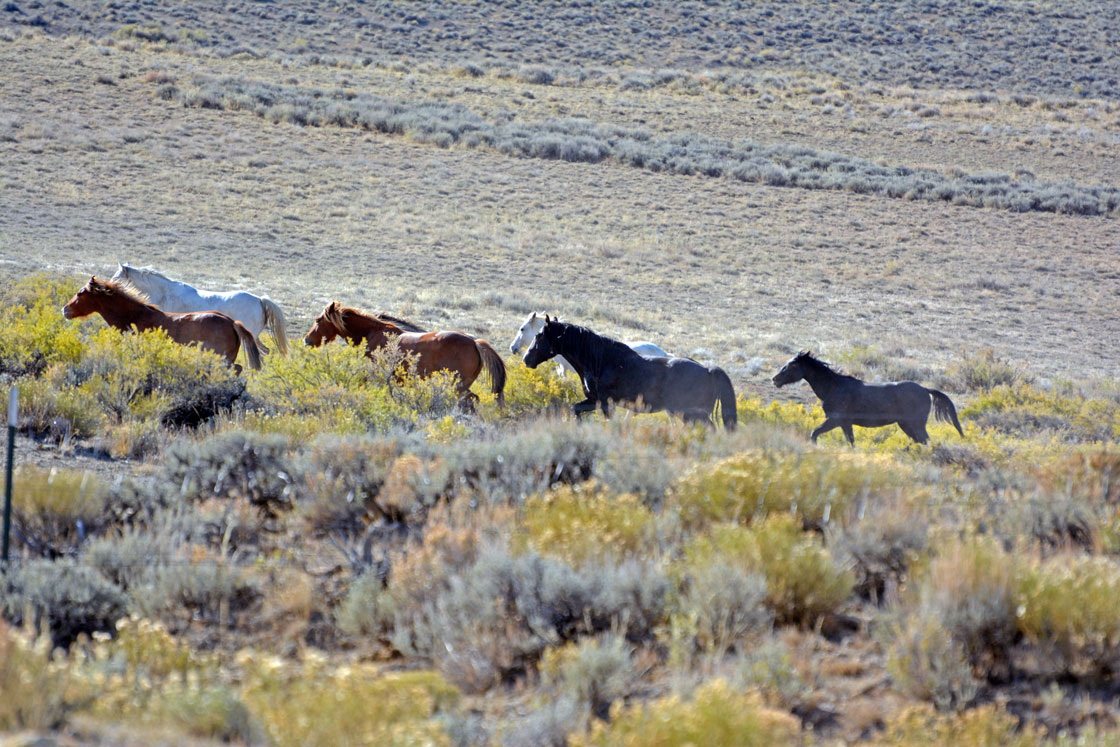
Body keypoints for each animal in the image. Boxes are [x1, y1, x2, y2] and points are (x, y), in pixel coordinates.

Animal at [523, 316, 737, 429]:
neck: (600, 362)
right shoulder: (593, 400)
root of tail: (708, 371)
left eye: (539, 336)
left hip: (691, 414)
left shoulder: (606, 404)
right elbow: (575, 409)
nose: (526, 359)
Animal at [772, 351, 963, 445]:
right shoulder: (845, 423)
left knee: (923, 441)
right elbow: (851, 442)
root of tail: (925, 389)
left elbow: (814, 433)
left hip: (913, 424)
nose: (775, 379)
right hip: (907, 425)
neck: (834, 388)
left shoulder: (834, 420)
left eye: (791, 365)